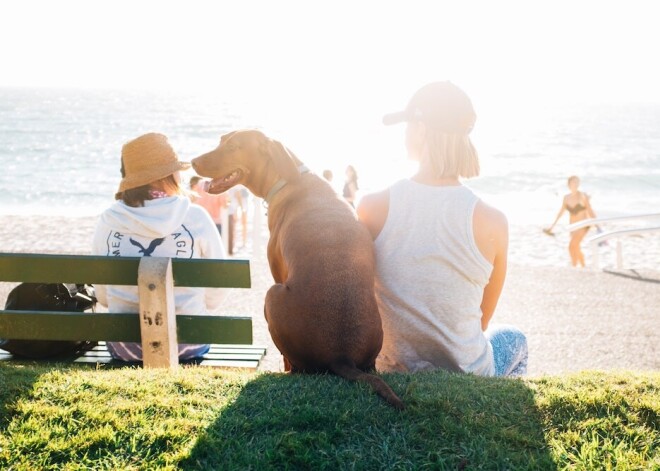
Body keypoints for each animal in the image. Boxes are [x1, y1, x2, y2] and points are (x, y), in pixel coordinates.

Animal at [193, 129, 404, 410]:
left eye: (234, 147)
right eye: (220, 142)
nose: (192, 162)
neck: (288, 177)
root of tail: (342, 356)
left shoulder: (277, 271)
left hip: (272, 295)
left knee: (295, 365)